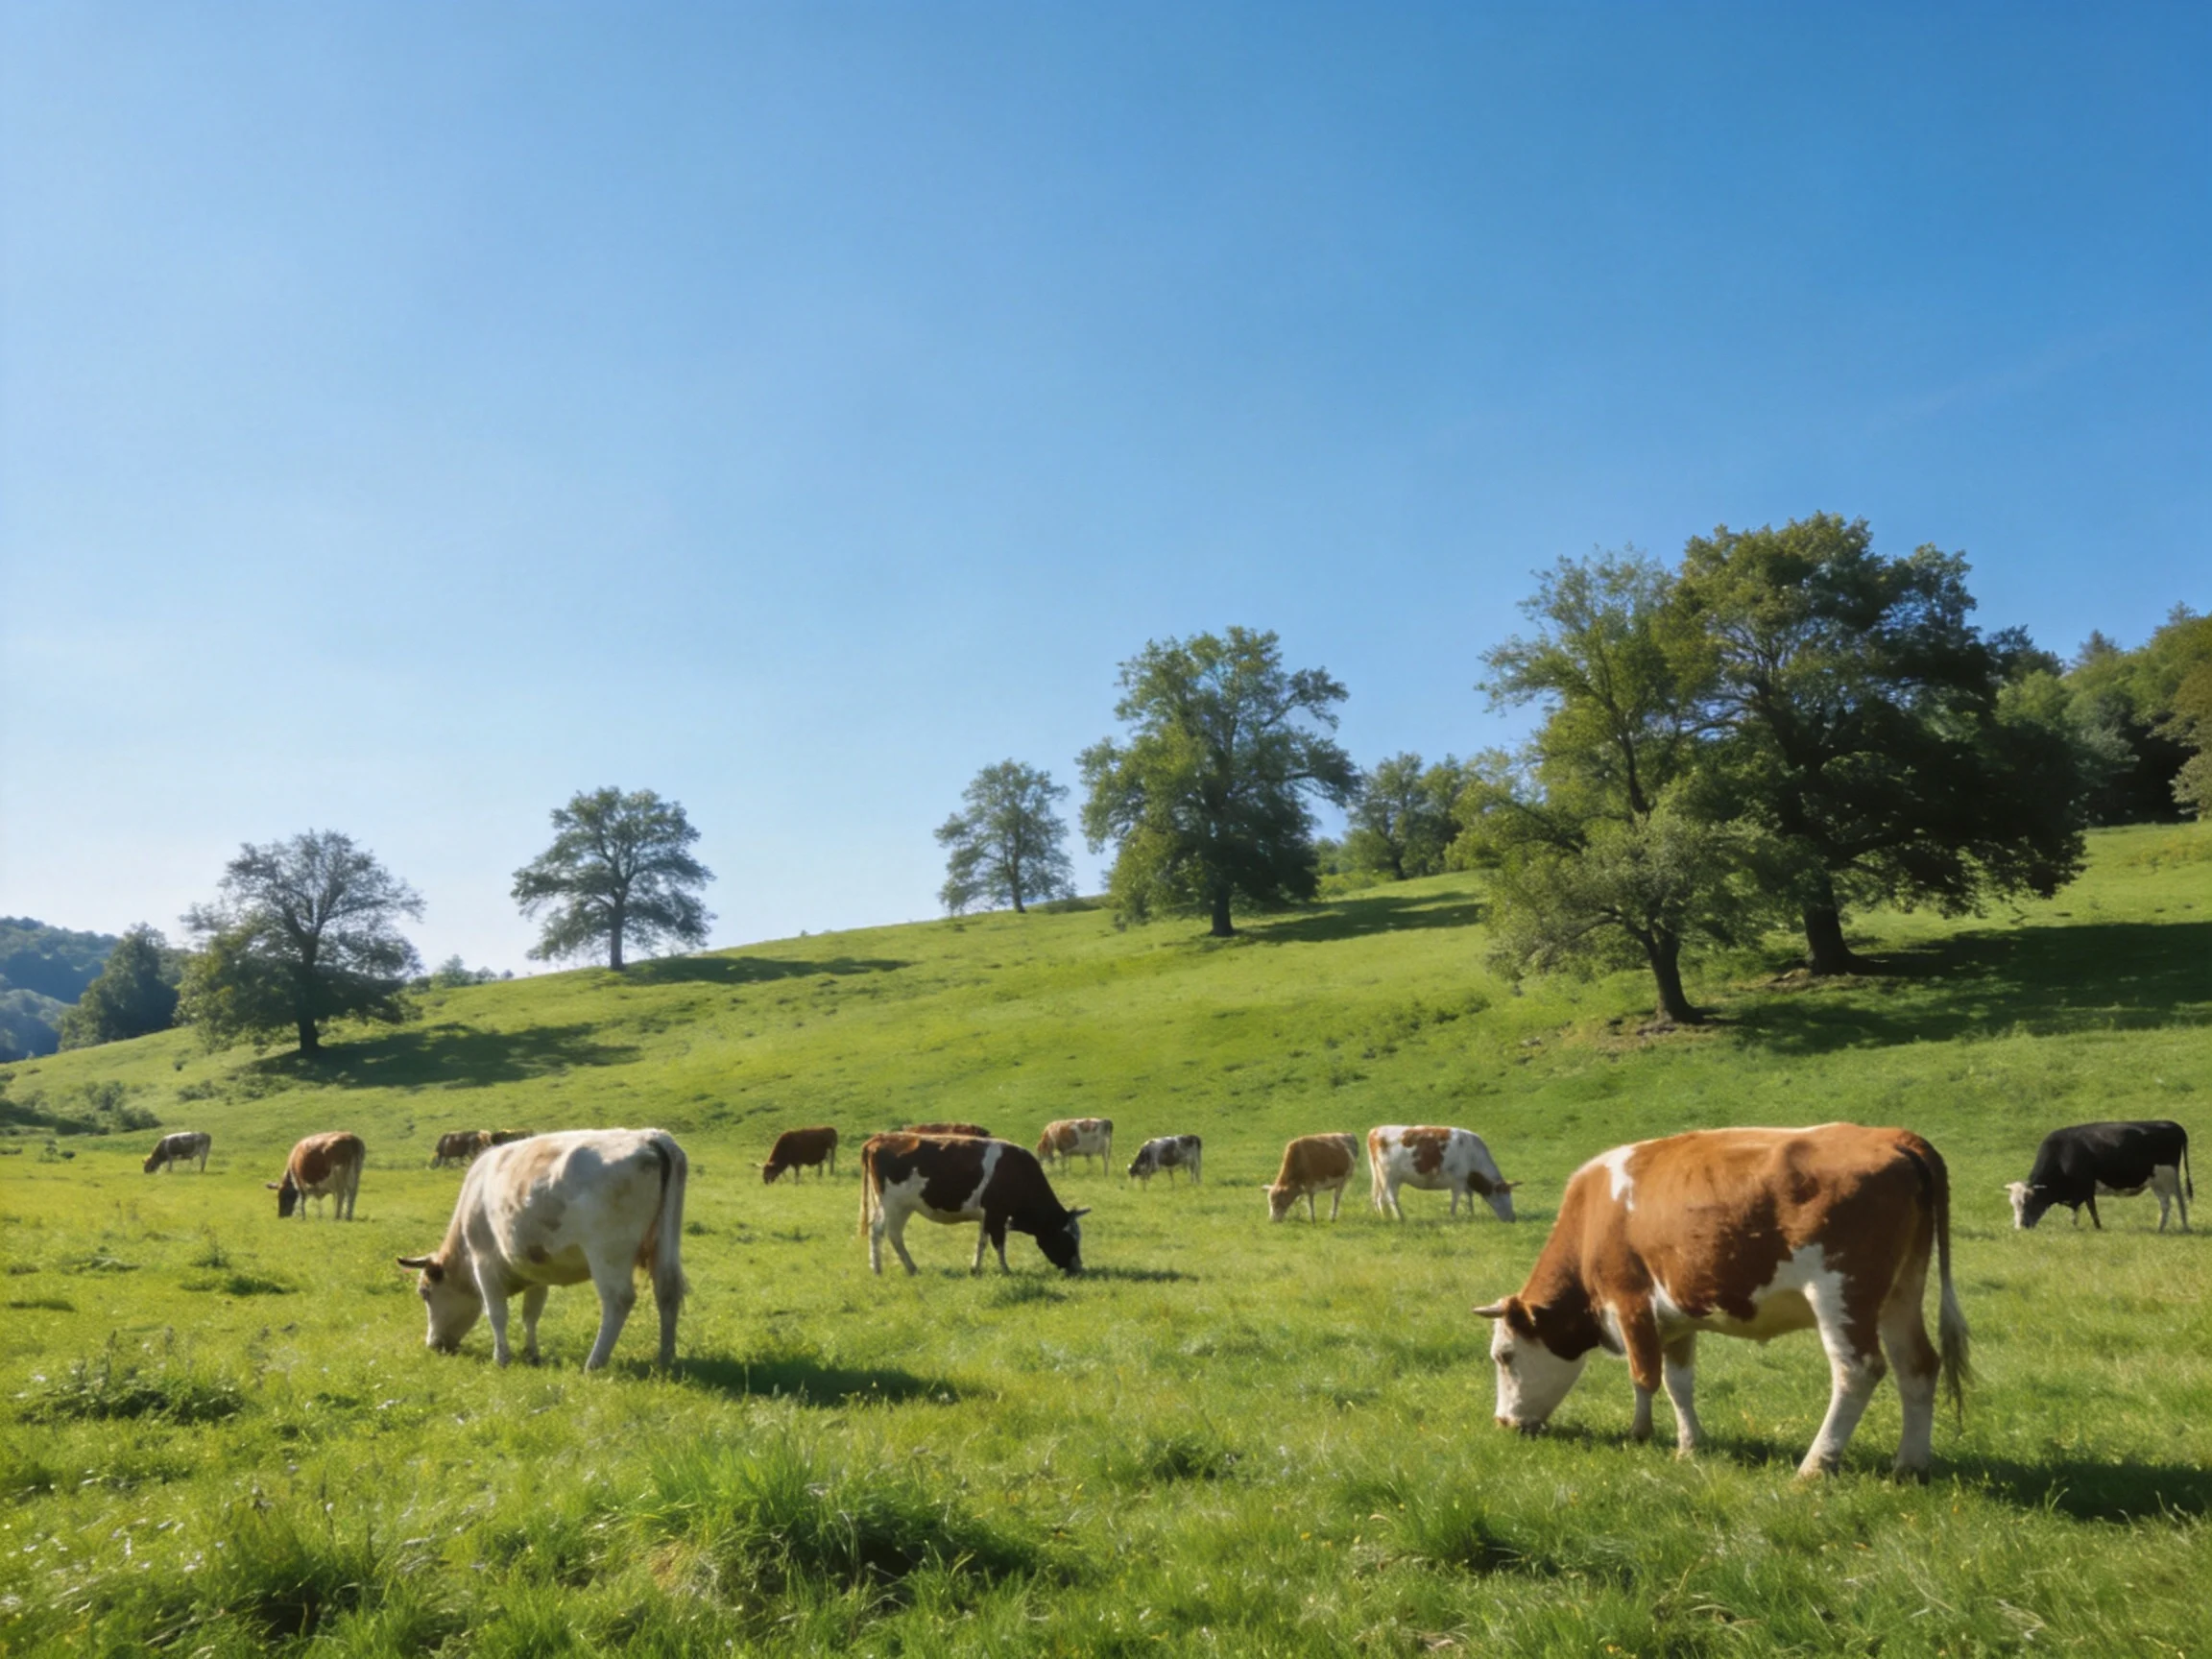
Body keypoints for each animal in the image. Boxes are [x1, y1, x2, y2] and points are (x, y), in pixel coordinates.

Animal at [397, 1127, 688, 1370]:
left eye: (425, 1292)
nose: (433, 1344)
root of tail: (650, 1137)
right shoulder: (536, 1269)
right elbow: (531, 1314)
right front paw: (532, 1354)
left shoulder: (484, 1264)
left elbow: (497, 1314)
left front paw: (501, 1358)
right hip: (666, 1244)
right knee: (668, 1292)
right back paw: (666, 1357)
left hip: (607, 1254)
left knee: (618, 1299)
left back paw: (594, 1363)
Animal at [859, 1133, 1087, 1276]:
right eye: (1068, 1238)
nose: (1079, 1268)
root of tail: (879, 1138)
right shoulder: (997, 1214)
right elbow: (999, 1243)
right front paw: (1006, 1270)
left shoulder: (988, 1216)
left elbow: (982, 1242)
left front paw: (976, 1268)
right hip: (892, 1205)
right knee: (881, 1232)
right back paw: (881, 1269)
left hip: (900, 1207)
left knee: (891, 1233)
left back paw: (907, 1267)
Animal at [1367, 1125, 1518, 1221]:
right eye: (1503, 1195)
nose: (1512, 1218)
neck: (1473, 1156)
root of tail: (1375, 1131)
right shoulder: (1458, 1181)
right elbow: (1456, 1200)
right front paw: (1453, 1216)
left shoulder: (1466, 1182)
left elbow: (1469, 1198)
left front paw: (1471, 1214)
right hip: (1390, 1177)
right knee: (1391, 1198)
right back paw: (1400, 1217)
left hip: (1380, 1177)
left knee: (1380, 1198)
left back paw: (1385, 1217)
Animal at [1475, 1123, 1970, 1480]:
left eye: (1504, 1356)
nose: (1502, 1422)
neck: (1593, 1217)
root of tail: (1894, 1136)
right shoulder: (1674, 1318)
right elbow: (1678, 1383)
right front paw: (1689, 1445)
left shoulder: (1630, 1302)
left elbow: (1643, 1375)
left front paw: (1640, 1433)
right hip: (1901, 1291)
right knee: (1917, 1365)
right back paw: (1910, 1464)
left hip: (1842, 1294)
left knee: (1858, 1370)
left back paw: (1815, 1466)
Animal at [2006, 1120, 2193, 1233]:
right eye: (2013, 1204)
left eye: (2028, 1202)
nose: (2019, 1227)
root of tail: (2171, 1124)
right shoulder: (2079, 1192)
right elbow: (2078, 1210)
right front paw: (2075, 1225)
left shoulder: (2086, 1186)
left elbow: (2091, 1209)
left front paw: (2097, 1227)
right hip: (2161, 1180)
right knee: (2172, 1201)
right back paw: (2170, 1227)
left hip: (2165, 1177)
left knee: (2174, 1201)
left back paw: (2174, 1227)